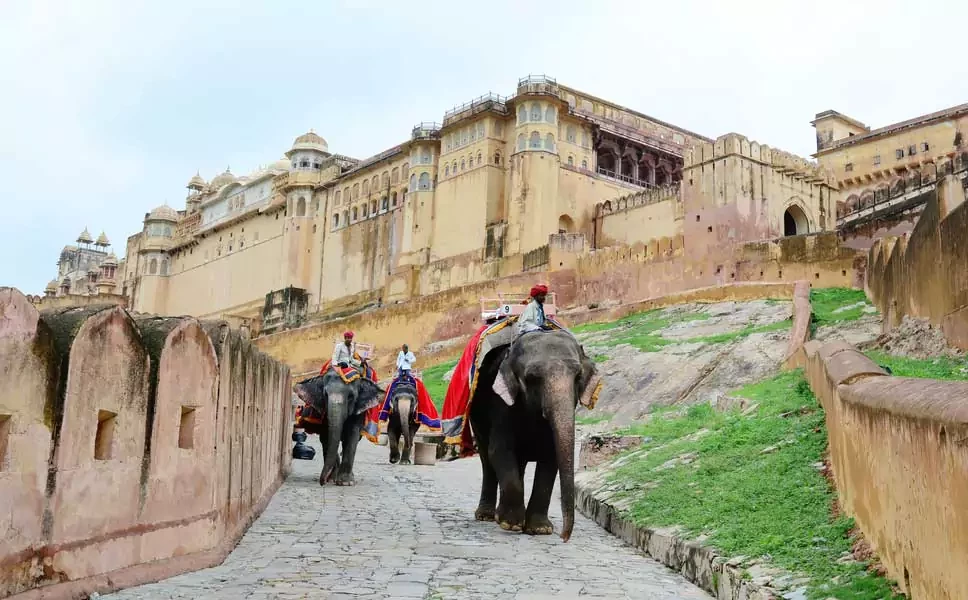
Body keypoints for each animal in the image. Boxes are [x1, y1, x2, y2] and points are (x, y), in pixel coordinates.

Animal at [466, 330, 596, 540]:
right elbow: (499, 451)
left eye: (578, 376)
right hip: (476, 417)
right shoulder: (502, 406)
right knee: (487, 458)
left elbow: (551, 459)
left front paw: (540, 529)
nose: (564, 537)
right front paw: (511, 524)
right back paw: (487, 516)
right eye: (532, 377)